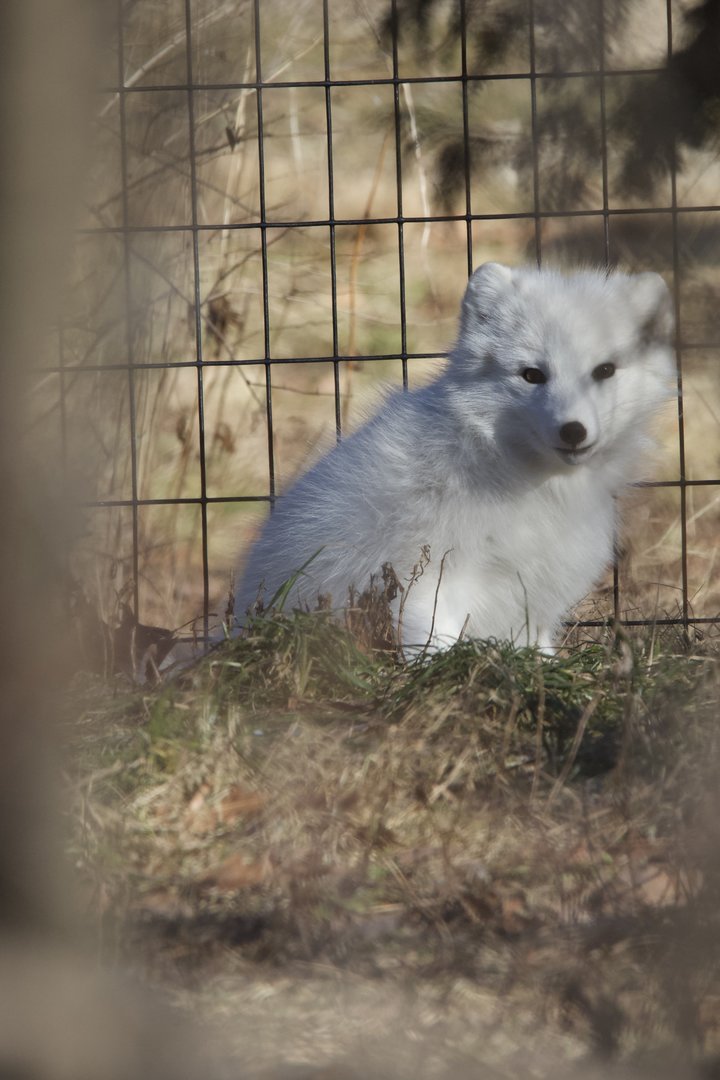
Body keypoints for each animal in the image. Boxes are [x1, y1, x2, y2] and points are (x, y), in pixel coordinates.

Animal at [234, 263, 675, 652]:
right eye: (532, 375)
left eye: (604, 371)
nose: (573, 431)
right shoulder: (422, 578)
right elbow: (431, 641)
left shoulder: (527, 600)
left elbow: (535, 651)